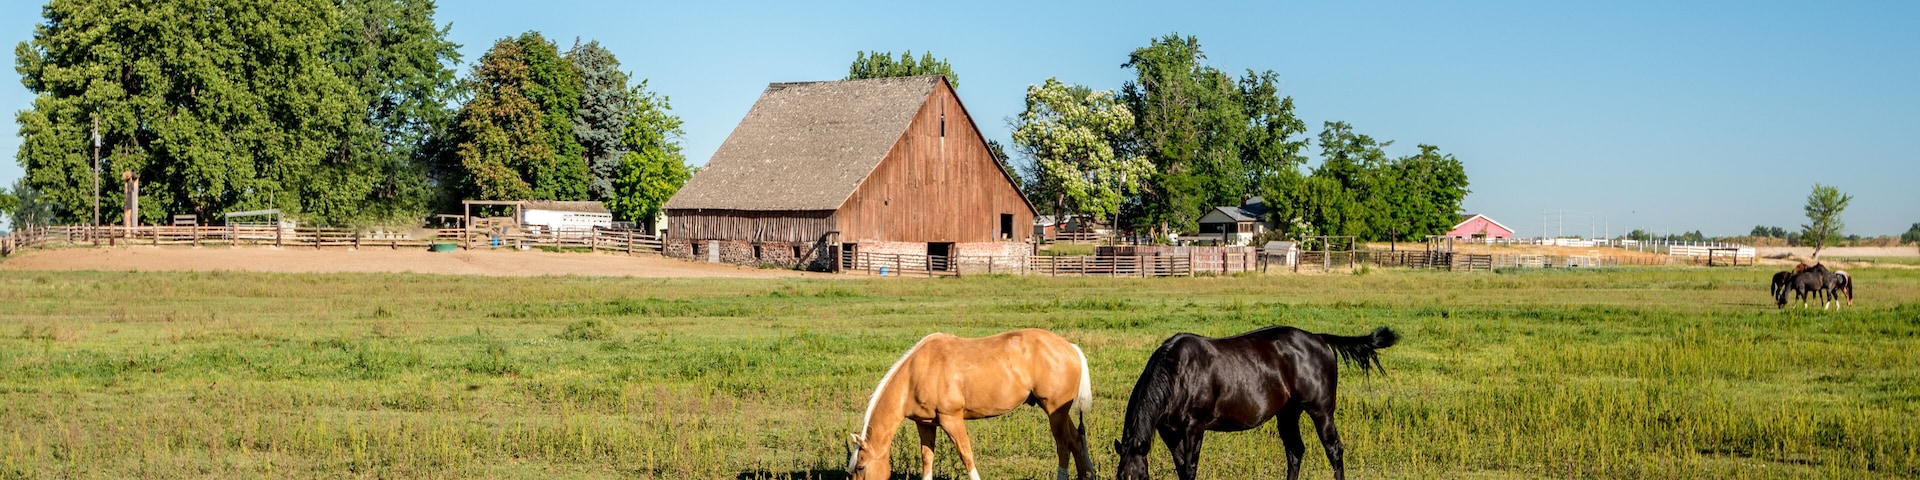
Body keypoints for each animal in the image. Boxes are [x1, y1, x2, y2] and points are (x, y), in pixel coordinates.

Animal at [848, 329, 1095, 480]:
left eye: (861, 466)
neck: (915, 374)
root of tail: (1071, 347)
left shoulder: (951, 419)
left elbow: (966, 455)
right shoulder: (925, 424)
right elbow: (927, 458)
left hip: (1054, 412)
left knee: (1063, 444)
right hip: (1059, 412)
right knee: (1075, 440)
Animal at [1114, 326, 1399, 480]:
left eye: (1140, 477)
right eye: (1120, 478)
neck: (1178, 372)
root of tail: (1319, 338)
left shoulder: (1194, 428)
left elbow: (1190, 468)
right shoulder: (1168, 431)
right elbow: (1181, 466)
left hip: (1322, 412)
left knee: (1334, 450)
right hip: (1288, 413)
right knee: (1295, 451)